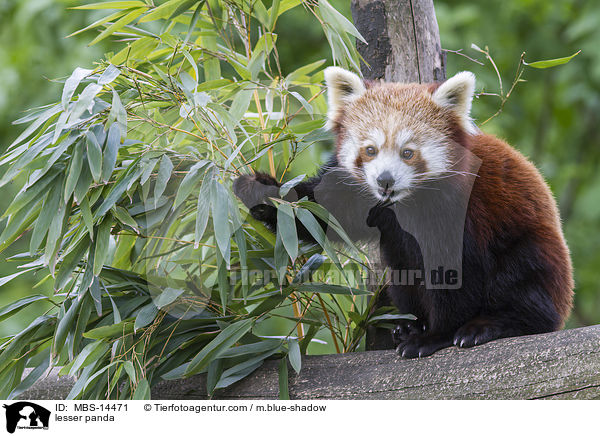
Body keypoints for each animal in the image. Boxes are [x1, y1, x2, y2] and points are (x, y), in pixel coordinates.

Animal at [232, 65, 576, 358]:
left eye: (408, 153)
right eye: (370, 150)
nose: (385, 180)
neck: (400, 203)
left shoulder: (461, 213)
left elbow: (455, 277)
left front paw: (436, 336)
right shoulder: (354, 191)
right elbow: (319, 214)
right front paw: (262, 193)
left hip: (534, 253)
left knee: (524, 284)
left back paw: (490, 324)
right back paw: (410, 323)